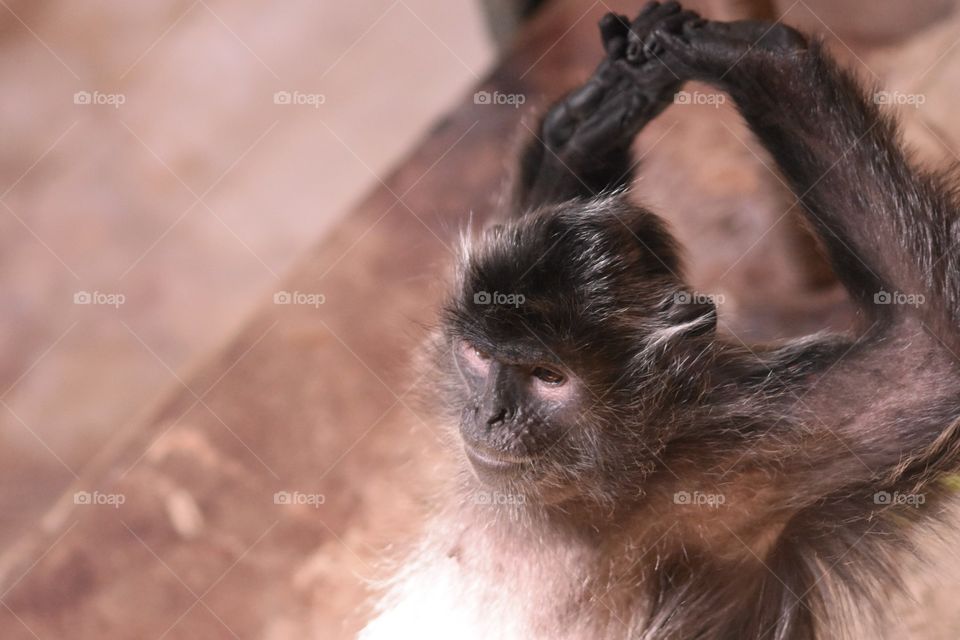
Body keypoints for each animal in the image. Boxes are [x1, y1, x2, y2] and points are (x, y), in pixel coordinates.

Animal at [359, 3, 960, 639]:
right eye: (477, 355)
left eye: (549, 378)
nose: (490, 415)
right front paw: (582, 129)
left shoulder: (737, 473)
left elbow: (928, 362)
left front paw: (743, 49)